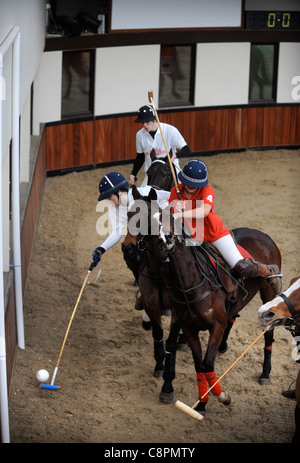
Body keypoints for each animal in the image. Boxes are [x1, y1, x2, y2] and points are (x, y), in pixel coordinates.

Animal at [125, 187, 282, 418]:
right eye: (130, 215)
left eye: (169, 219)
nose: (166, 241)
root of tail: (263, 234)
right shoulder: (183, 323)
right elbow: (197, 363)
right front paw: (200, 403)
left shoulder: (212, 325)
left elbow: (205, 362)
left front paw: (220, 396)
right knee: (233, 316)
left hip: (268, 295)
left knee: (268, 330)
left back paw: (265, 373)